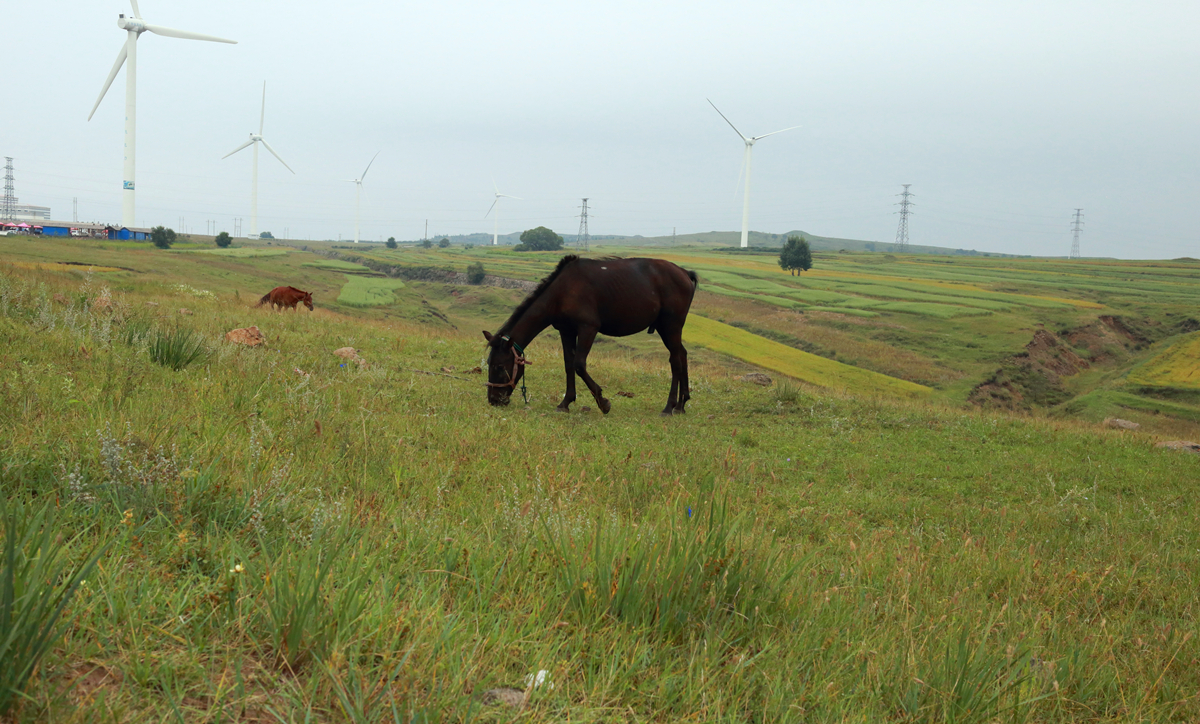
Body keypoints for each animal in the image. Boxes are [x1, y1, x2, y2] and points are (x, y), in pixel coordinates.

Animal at [483, 255, 698, 416]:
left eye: (500, 366)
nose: (493, 400)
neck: (562, 292)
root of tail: (685, 273)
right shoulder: (566, 330)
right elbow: (569, 364)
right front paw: (565, 403)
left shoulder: (588, 328)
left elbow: (579, 364)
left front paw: (602, 402)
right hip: (665, 328)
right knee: (682, 355)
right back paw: (681, 405)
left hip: (671, 326)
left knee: (675, 361)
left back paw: (669, 407)